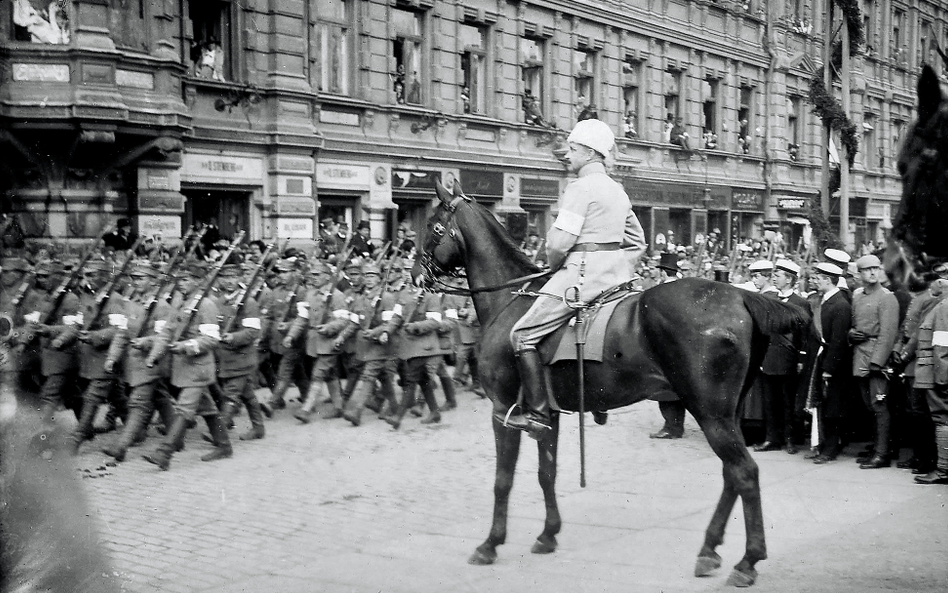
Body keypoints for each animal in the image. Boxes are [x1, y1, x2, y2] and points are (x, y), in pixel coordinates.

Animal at [414, 180, 808, 588]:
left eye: (434, 227)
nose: (416, 276)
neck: (510, 301)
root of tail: (741, 295)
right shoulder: (547, 415)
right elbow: (546, 473)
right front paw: (548, 533)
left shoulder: (503, 411)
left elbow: (503, 479)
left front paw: (490, 543)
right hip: (726, 413)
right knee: (732, 474)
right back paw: (710, 549)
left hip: (711, 413)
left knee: (743, 472)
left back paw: (747, 561)